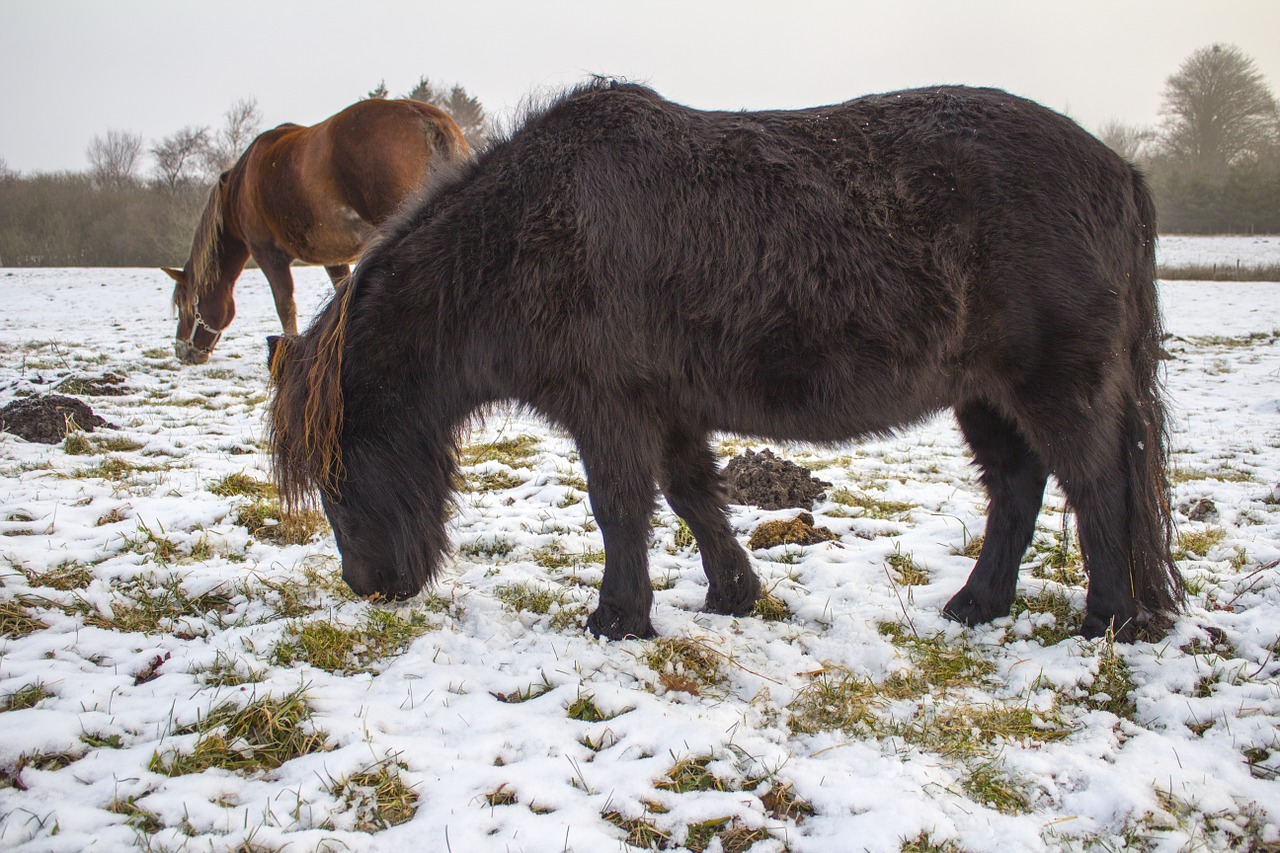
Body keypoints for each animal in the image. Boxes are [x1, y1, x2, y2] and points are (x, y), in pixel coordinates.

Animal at [162, 97, 468, 361]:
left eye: (186, 306)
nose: (182, 351)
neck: (240, 187)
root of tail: (426, 118)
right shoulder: (334, 258)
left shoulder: (268, 254)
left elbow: (285, 305)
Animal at [264, 79, 1182, 637]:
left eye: (338, 469)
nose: (369, 583)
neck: (527, 234)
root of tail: (1121, 173)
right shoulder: (667, 405)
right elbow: (694, 496)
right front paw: (734, 594)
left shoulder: (610, 405)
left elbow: (619, 507)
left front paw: (616, 618)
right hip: (986, 395)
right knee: (1017, 486)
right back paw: (977, 605)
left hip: (1057, 384)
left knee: (1095, 483)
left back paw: (1107, 618)